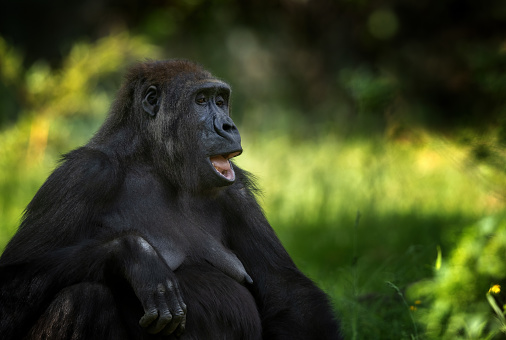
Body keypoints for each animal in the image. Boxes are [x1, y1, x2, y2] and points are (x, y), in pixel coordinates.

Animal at [0, 59, 344, 338]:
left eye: (221, 101)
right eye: (201, 100)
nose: (228, 125)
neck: (154, 162)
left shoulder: (237, 192)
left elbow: (288, 292)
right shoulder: (82, 175)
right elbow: (12, 286)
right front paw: (135, 255)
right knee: (80, 299)